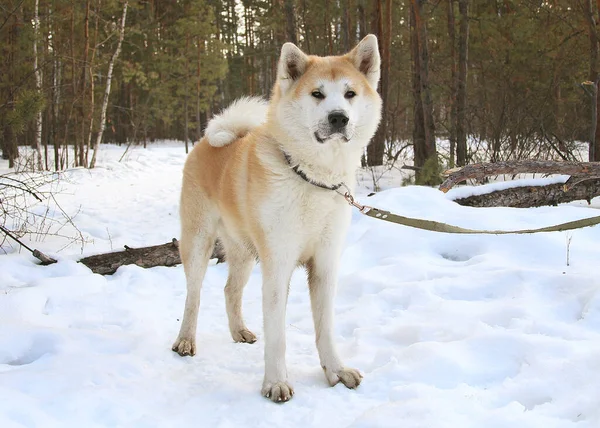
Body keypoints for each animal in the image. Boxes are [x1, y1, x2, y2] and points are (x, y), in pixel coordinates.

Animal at [171, 33, 382, 402]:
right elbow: (278, 335)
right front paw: (276, 382)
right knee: (193, 296)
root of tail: (207, 141)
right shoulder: (278, 264)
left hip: (243, 252)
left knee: (230, 290)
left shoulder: (325, 263)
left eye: (350, 94)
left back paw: (239, 331)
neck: (313, 178)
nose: (339, 118)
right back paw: (185, 340)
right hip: (197, 243)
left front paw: (336, 371)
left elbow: (325, 328)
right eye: (317, 94)